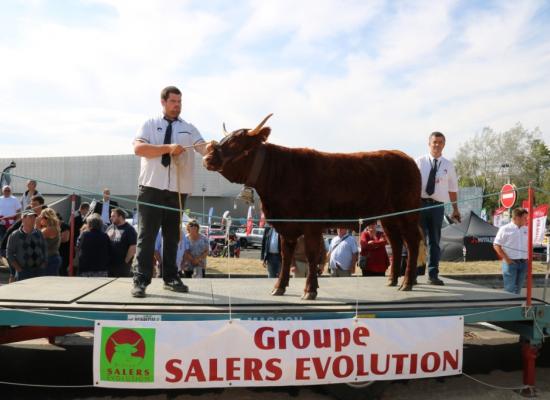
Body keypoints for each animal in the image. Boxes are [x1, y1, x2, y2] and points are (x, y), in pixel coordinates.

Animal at [203, 114, 422, 298]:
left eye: (237, 143)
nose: (207, 158)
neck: (280, 174)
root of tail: (404, 156)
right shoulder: (286, 226)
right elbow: (286, 255)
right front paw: (279, 287)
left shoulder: (311, 225)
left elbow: (311, 256)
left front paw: (310, 290)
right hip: (389, 217)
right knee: (396, 243)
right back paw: (392, 280)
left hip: (407, 213)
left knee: (412, 241)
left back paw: (407, 282)